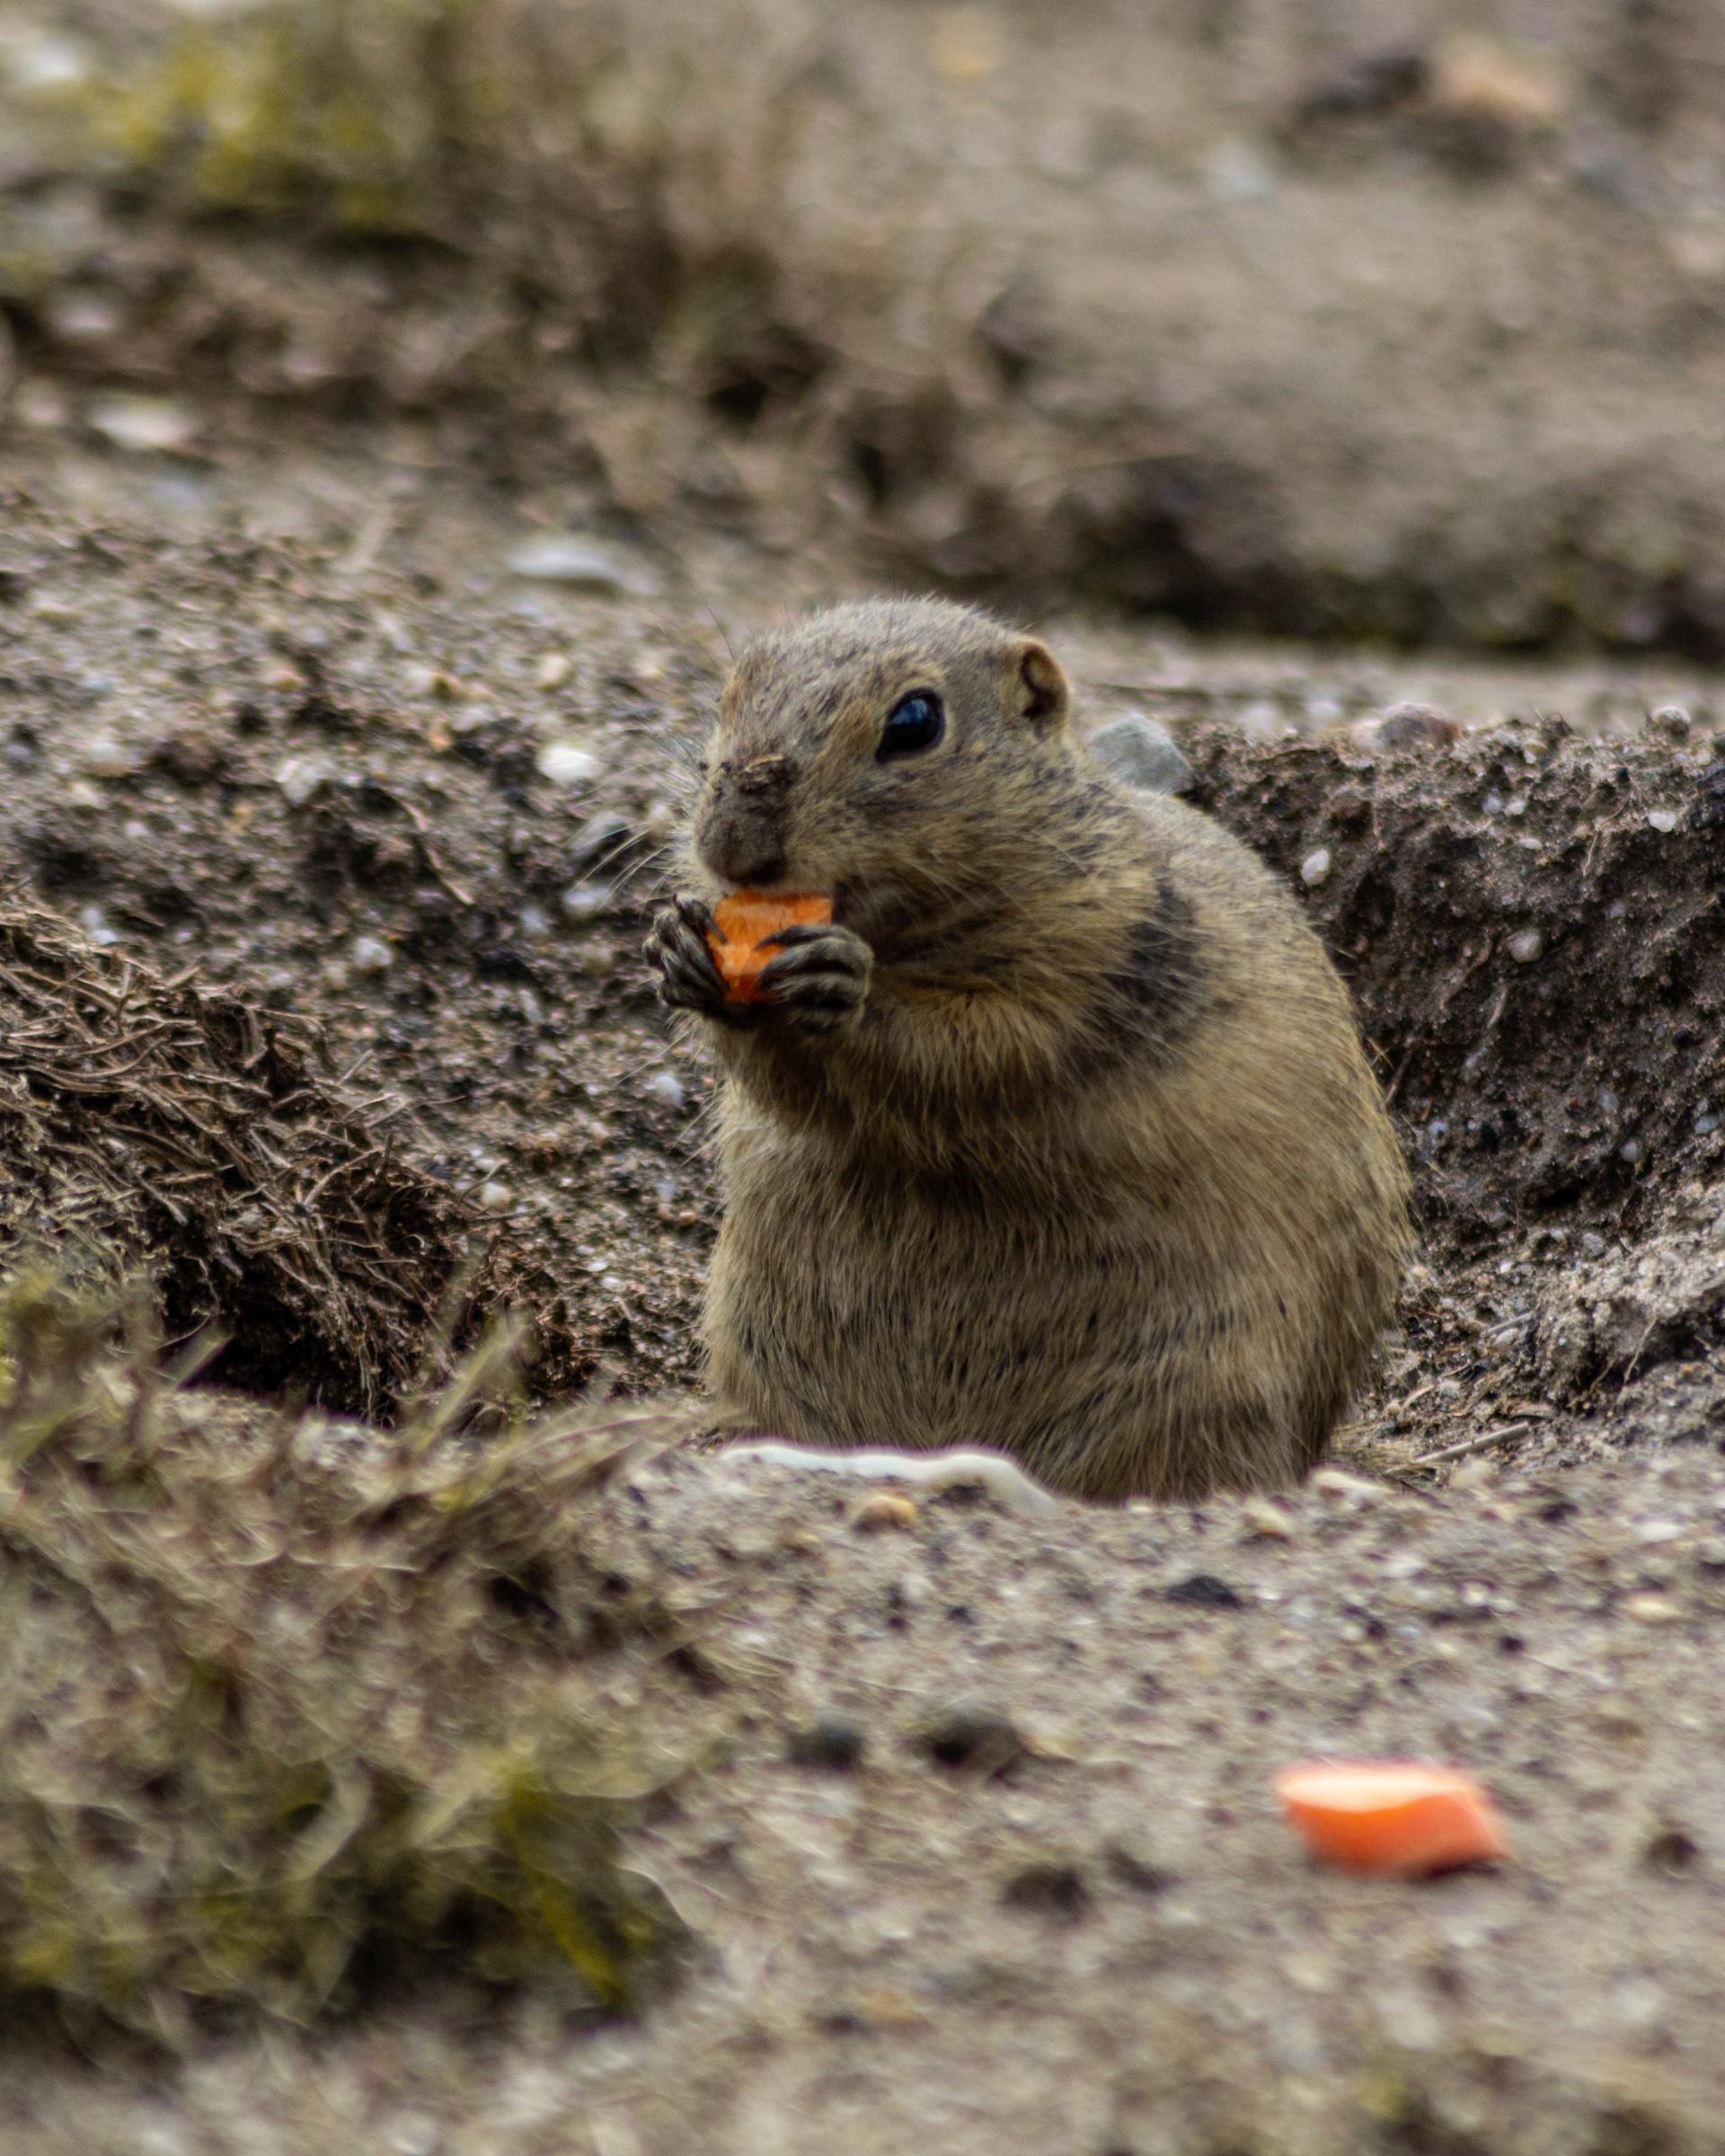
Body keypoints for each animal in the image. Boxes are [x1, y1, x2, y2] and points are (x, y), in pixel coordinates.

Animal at [645, 598, 1410, 1503]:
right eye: (733, 689)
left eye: (915, 722)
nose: (732, 843)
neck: (900, 932)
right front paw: (678, 947)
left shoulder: (1090, 950)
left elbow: (983, 1047)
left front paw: (843, 984)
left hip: (1205, 1380)